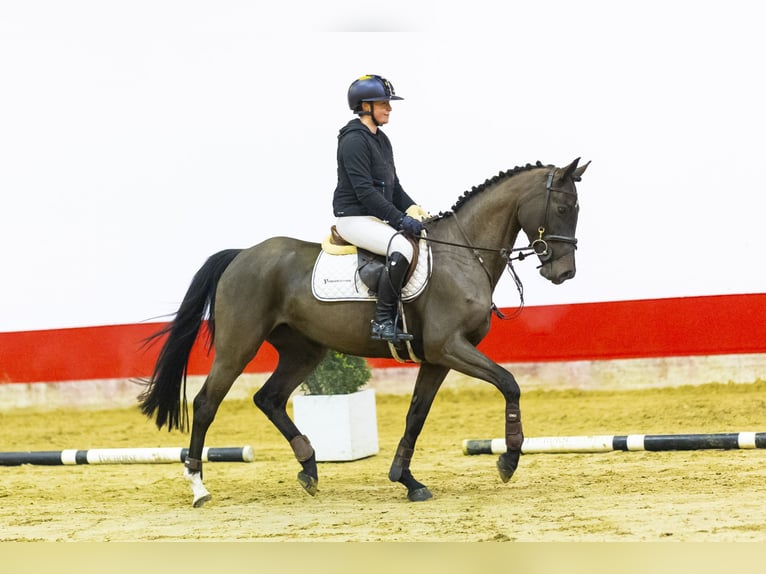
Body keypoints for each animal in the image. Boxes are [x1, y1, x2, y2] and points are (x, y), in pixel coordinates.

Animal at [141, 158, 592, 508]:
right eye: (564, 206)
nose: (564, 273)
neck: (465, 255)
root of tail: (241, 255)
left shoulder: (436, 358)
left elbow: (416, 415)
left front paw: (407, 481)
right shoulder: (449, 347)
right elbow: (509, 383)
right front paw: (508, 461)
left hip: (304, 351)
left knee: (268, 398)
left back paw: (309, 467)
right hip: (239, 346)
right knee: (206, 404)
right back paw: (199, 488)